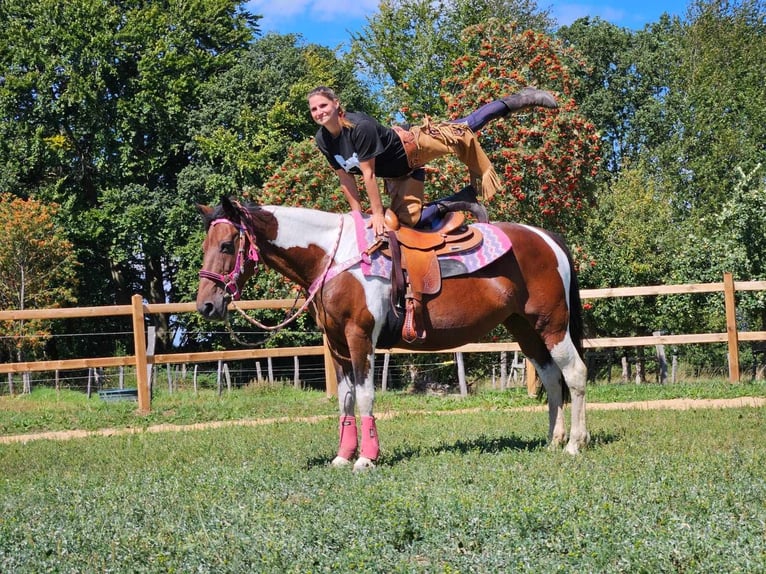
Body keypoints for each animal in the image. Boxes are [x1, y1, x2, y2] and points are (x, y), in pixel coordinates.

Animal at [195, 198, 592, 472]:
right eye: (206, 245)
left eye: (227, 246)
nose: (206, 305)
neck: (337, 259)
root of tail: (547, 238)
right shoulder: (337, 345)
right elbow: (345, 400)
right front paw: (343, 456)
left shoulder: (360, 338)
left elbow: (366, 396)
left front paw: (367, 459)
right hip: (525, 328)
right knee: (551, 378)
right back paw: (552, 442)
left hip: (552, 324)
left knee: (574, 374)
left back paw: (575, 444)